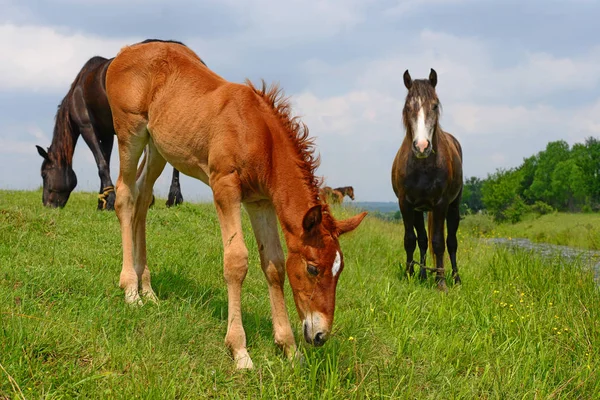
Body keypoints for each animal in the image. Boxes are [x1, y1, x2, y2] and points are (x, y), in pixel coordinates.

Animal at [34, 39, 192, 211]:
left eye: (44, 174)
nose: (47, 204)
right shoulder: (107, 133)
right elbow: (106, 160)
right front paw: (102, 200)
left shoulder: (87, 128)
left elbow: (101, 163)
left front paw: (109, 201)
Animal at [392, 69, 462, 290]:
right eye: (408, 107)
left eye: (434, 105)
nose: (422, 146)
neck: (422, 168)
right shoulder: (405, 204)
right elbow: (410, 240)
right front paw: (408, 275)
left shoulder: (440, 204)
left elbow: (439, 242)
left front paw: (441, 282)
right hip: (418, 210)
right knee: (422, 240)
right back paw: (422, 275)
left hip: (453, 207)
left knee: (451, 242)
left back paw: (456, 278)